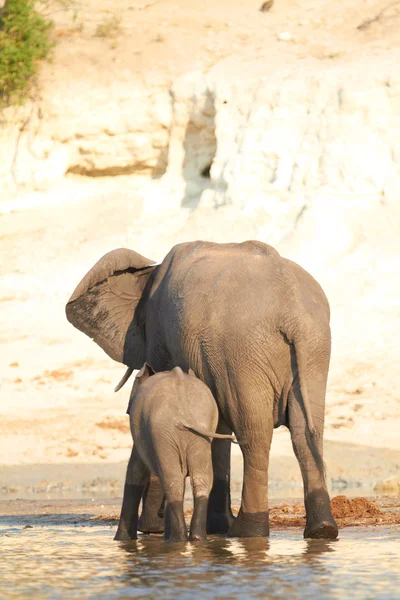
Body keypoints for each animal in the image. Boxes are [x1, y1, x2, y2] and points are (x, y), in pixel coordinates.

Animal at [114, 364, 236, 540]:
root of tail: (184, 413)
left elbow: (135, 471)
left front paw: (121, 540)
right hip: (198, 432)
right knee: (201, 479)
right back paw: (195, 539)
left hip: (163, 431)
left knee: (173, 481)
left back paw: (178, 539)